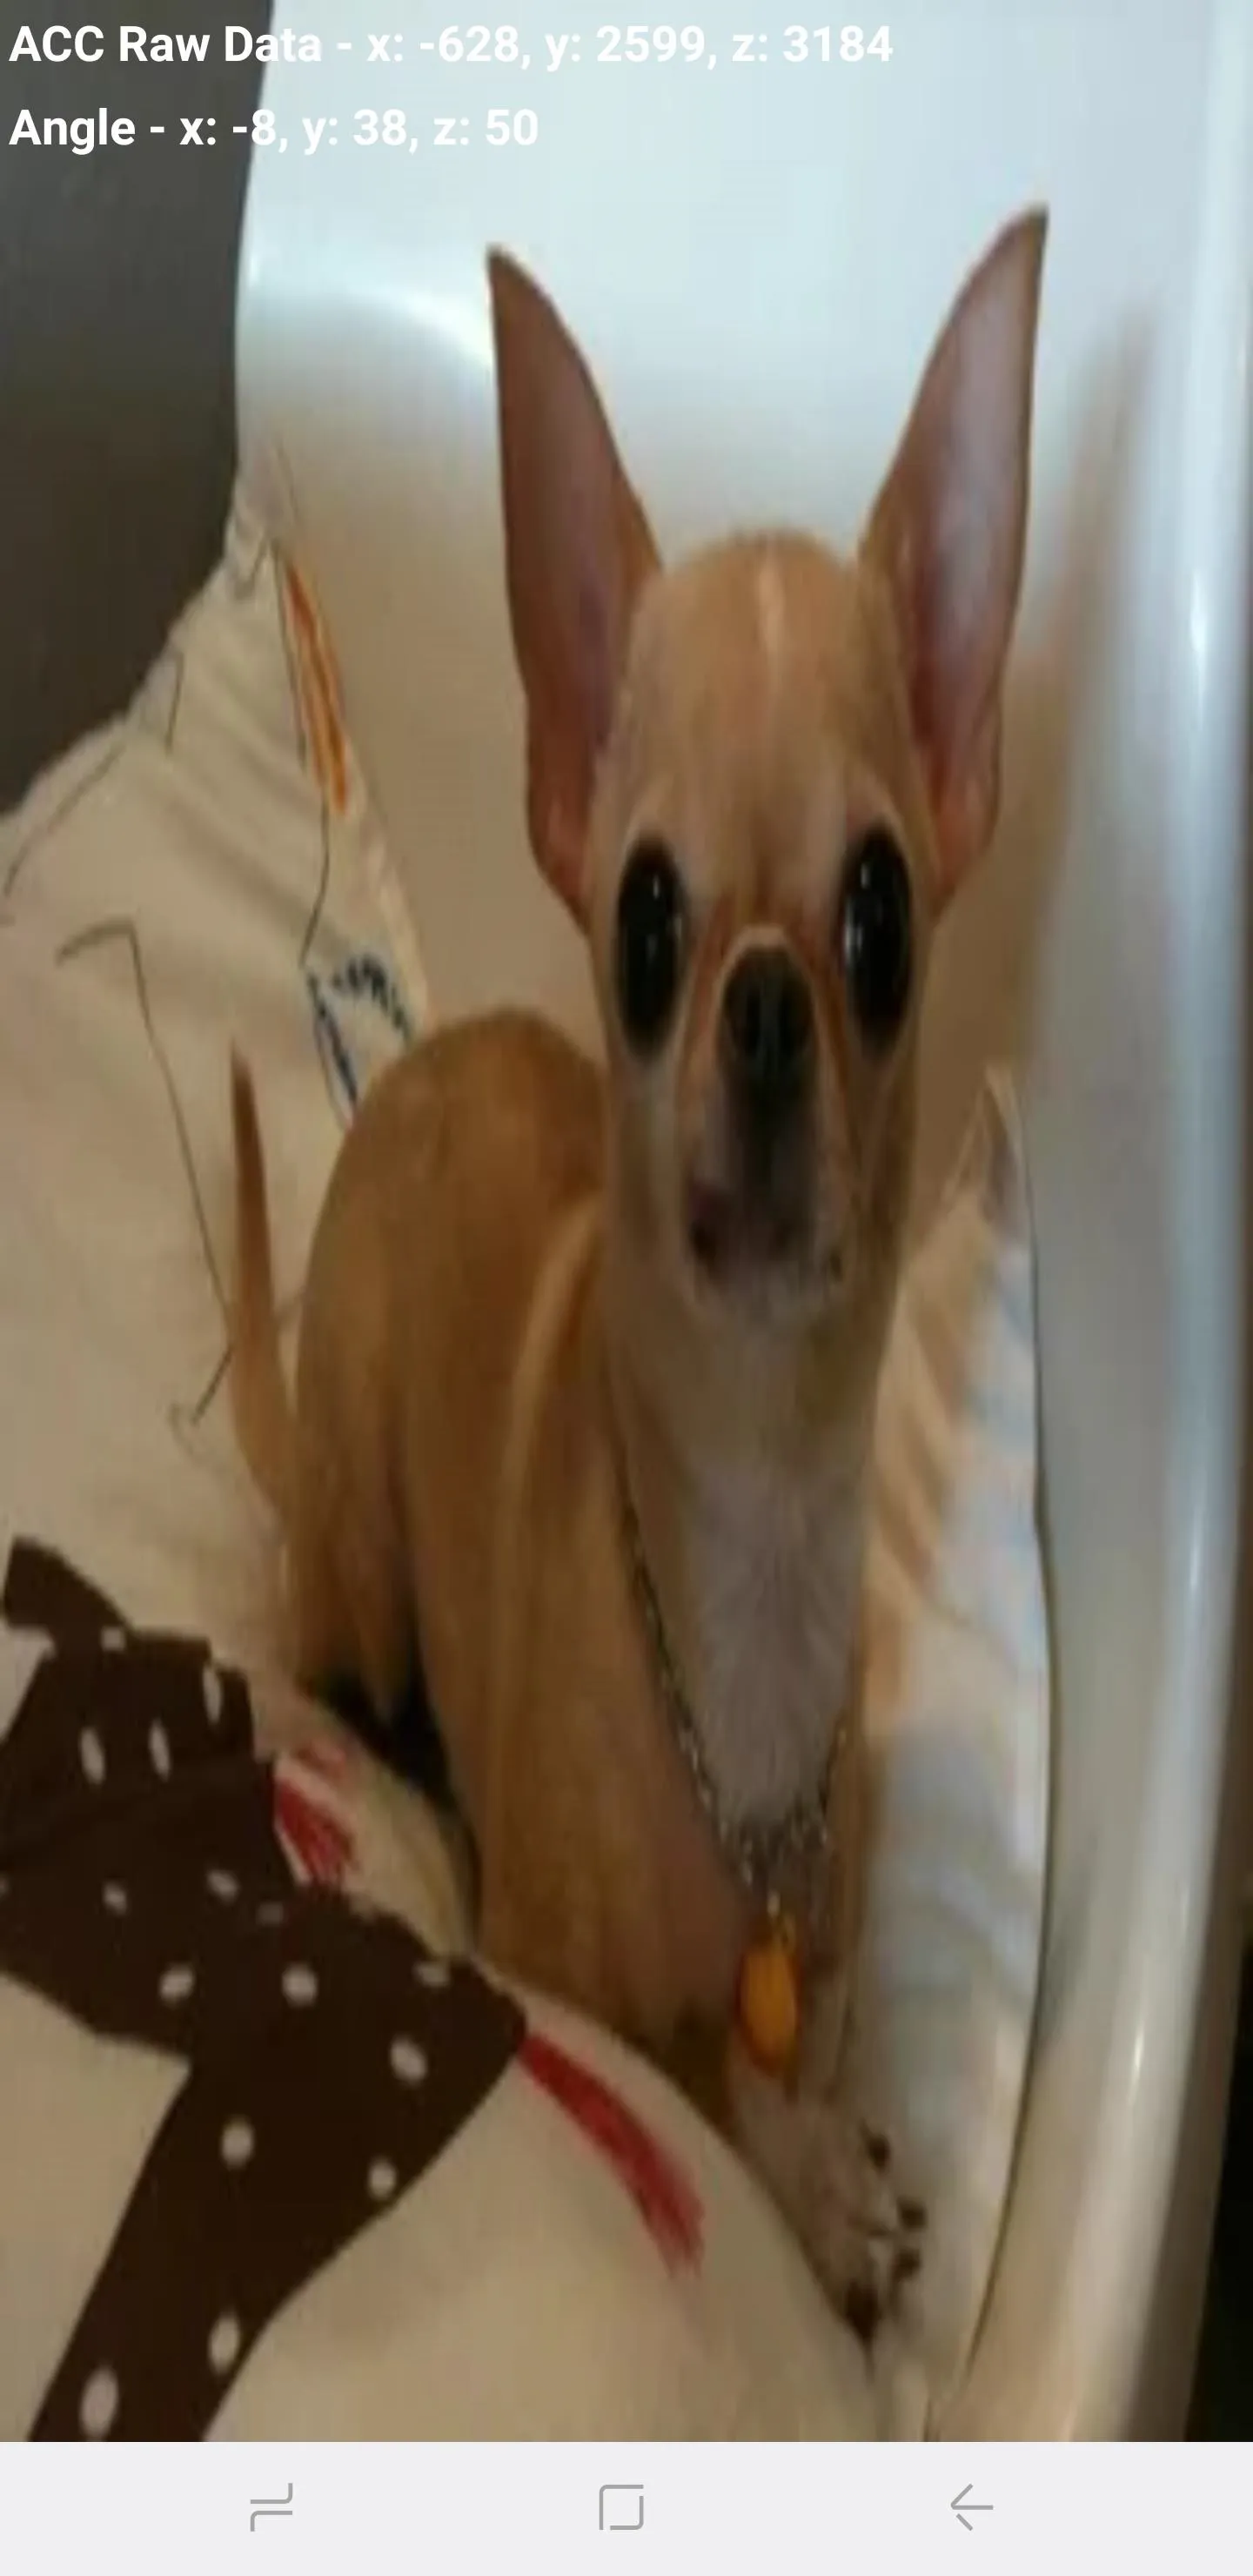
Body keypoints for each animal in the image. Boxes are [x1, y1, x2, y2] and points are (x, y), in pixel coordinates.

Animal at [231, 211, 1046, 2328]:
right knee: (339, 1652)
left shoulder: (822, 1953)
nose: (760, 1003)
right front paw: (811, 2183)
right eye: (650, 924)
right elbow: (692, 2074)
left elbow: (797, 2028)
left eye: (878, 918)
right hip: (354, 1550)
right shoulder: (554, 1978)